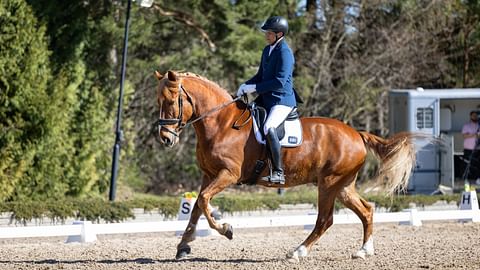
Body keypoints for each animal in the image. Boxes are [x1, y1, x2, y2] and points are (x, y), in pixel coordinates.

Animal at [156, 69, 418, 262]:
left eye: (171, 101)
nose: (166, 138)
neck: (221, 123)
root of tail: (356, 134)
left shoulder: (228, 174)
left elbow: (203, 201)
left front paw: (225, 229)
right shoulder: (208, 175)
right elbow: (197, 207)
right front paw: (184, 246)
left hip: (328, 184)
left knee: (325, 220)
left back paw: (297, 252)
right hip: (343, 186)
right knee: (366, 210)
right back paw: (363, 251)